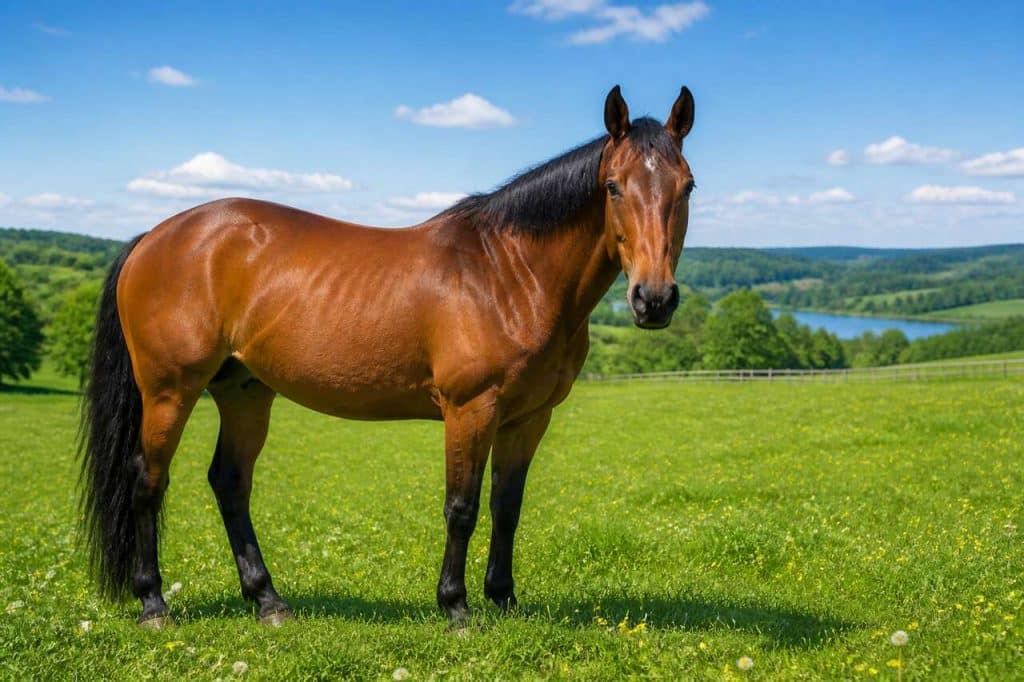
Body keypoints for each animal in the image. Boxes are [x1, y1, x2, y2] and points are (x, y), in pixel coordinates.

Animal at [79, 85, 695, 628]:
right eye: (612, 186)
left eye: (687, 187)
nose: (654, 299)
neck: (510, 272)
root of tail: (154, 237)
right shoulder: (470, 409)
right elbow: (461, 507)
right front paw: (455, 607)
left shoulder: (528, 417)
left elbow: (507, 506)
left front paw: (503, 599)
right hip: (169, 391)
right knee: (147, 481)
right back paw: (154, 605)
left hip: (244, 389)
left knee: (230, 482)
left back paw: (269, 602)